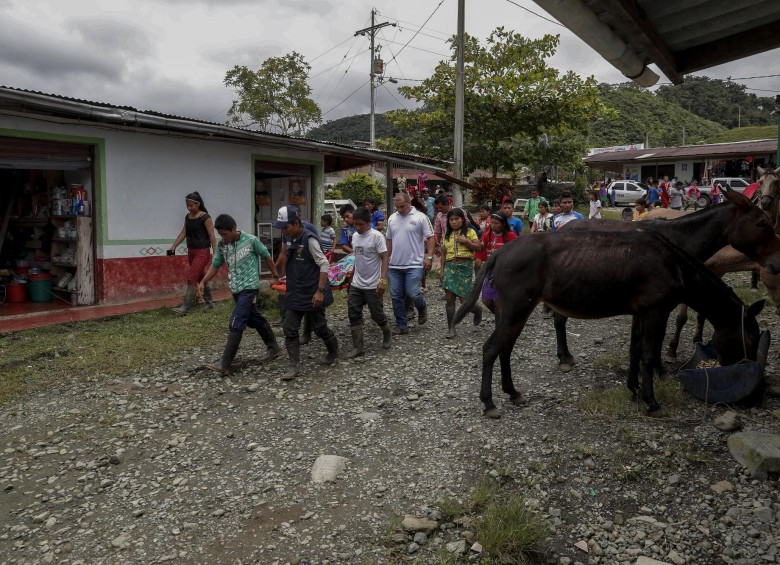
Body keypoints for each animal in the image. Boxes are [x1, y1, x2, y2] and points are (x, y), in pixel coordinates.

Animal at [454, 227, 764, 416]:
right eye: (750, 338)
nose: (750, 393)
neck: (674, 265)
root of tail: (499, 252)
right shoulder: (655, 311)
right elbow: (648, 355)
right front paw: (651, 401)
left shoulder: (641, 312)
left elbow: (635, 350)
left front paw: (634, 389)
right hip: (516, 308)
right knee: (491, 350)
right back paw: (489, 402)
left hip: (515, 311)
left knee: (504, 349)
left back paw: (512, 392)